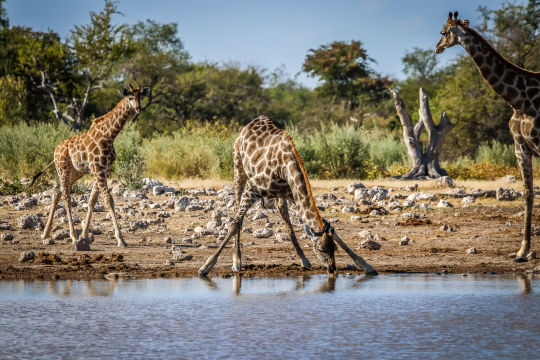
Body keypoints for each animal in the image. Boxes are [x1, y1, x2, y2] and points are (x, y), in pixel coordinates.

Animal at [31, 85, 150, 246]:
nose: (138, 108)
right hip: (63, 169)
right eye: (130, 97)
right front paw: (120, 239)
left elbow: (92, 199)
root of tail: (55, 152)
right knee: (66, 196)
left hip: (75, 172)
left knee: (57, 191)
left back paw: (45, 234)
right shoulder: (98, 168)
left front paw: (85, 235)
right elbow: (108, 200)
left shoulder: (103, 169)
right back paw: (72, 236)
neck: (109, 136)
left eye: (141, 97)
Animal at [196, 115, 378, 276]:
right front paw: (207, 266)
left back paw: (303, 259)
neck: (285, 168)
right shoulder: (252, 189)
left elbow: (326, 226)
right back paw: (236, 260)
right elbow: (235, 224)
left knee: (283, 214)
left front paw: (365, 265)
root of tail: (247, 126)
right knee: (236, 212)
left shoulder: (293, 194)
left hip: (278, 195)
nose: (332, 270)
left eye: (334, 248)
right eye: (320, 249)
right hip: (238, 169)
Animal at [434, 11, 540, 262]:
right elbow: (528, 193)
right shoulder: (521, 147)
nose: (437, 48)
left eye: (443, 32)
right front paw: (522, 251)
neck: (519, 101)